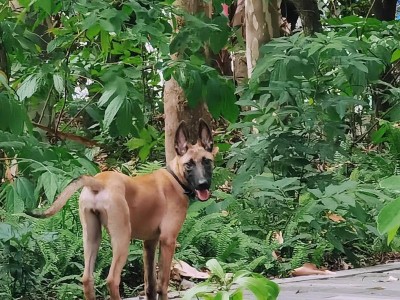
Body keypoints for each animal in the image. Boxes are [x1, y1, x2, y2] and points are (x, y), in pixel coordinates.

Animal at [28, 120, 219, 300]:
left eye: (207, 162)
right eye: (189, 165)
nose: (203, 184)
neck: (175, 178)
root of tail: (99, 181)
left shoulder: (149, 243)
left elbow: (150, 284)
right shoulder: (168, 240)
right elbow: (162, 284)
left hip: (91, 236)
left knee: (87, 279)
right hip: (122, 238)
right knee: (112, 279)